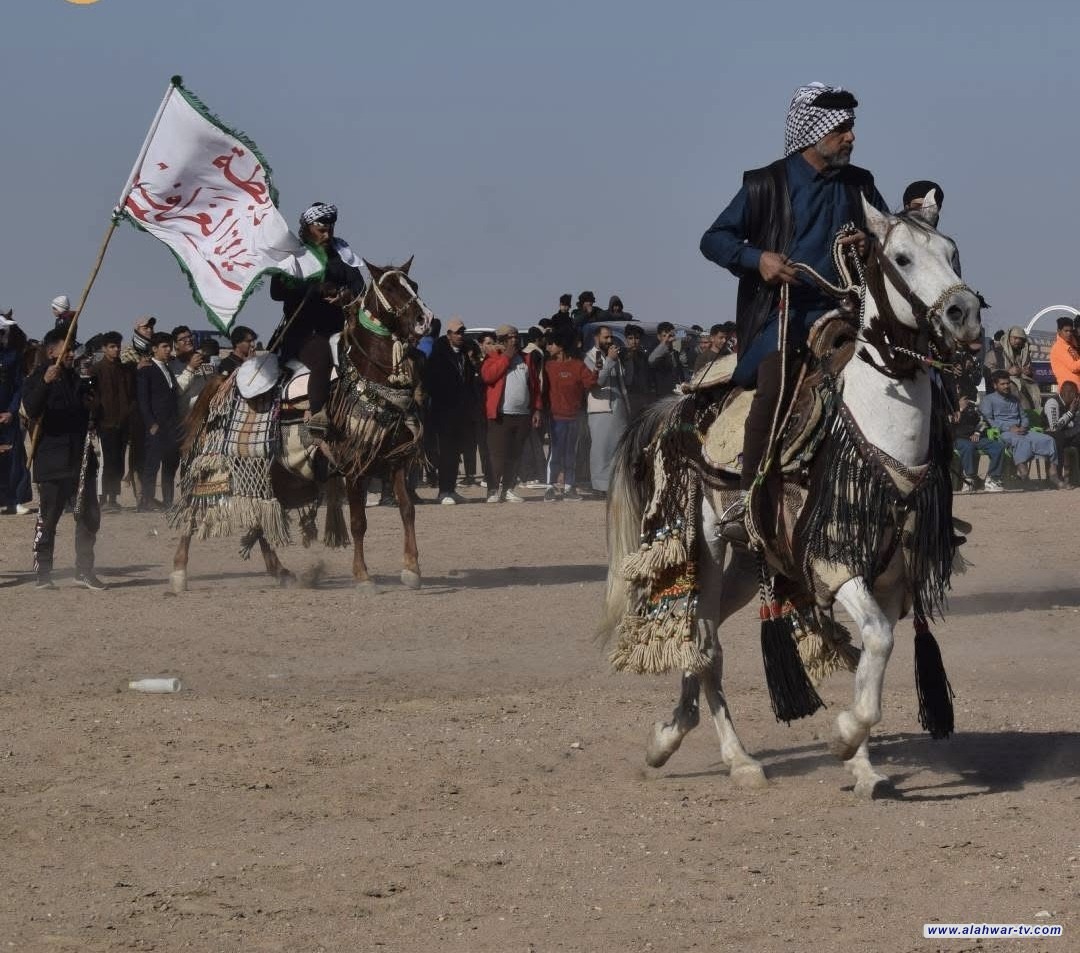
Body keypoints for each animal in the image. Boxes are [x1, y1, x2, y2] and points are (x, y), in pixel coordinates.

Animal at [170, 256, 432, 592]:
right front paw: (363, 576)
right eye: (389, 288)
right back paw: (179, 572)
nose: (425, 320)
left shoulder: (395, 459)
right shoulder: (353, 465)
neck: (371, 378)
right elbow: (359, 522)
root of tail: (223, 380)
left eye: (413, 285)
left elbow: (407, 510)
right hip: (215, 466)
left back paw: (280, 571)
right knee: (193, 510)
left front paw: (412, 568)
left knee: (259, 516)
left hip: (269, 473)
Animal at [604, 198, 984, 795]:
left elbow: (872, 654)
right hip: (706, 546)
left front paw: (864, 768)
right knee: (705, 644)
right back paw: (735, 759)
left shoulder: (890, 578)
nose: (964, 313)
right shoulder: (834, 562)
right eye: (901, 257)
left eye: (951, 251)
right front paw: (845, 738)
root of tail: (680, 403)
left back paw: (672, 735)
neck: (879, 436)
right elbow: (876, 642)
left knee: (704, 639)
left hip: (746, 565)